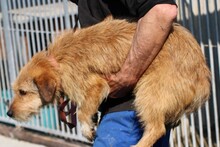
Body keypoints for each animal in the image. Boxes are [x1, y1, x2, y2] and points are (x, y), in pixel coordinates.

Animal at [6, 17, 210, 146]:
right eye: (15, 91)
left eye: (23, 92)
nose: (8, 113)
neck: (57, 62)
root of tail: (203, 77)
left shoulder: (96, 85)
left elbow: (82, 112)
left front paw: (86, 129)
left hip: (148, 93)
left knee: (157, 128)